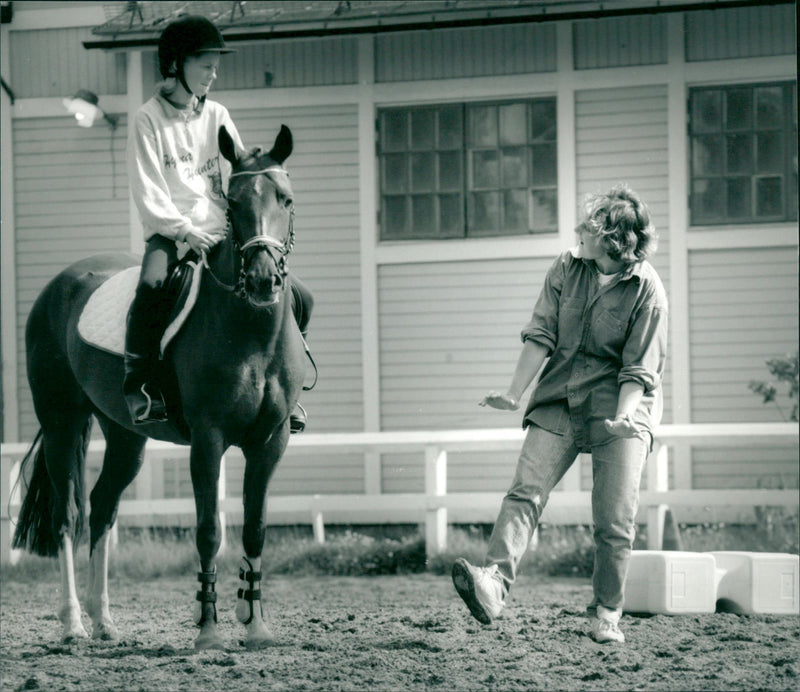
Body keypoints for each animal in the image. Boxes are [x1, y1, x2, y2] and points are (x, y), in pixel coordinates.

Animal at [13, 124, 306, 648]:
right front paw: (208, 630)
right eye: (232, 203)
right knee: (68, 516)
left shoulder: (270, 441)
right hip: (63, 421)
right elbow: (208, 530)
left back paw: (104, 621)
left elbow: (254, 528)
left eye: (286, 200)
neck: (251, 330)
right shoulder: (208, 439)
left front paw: (255, 623)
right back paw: (73, 623)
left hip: (125, 435)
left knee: (102, 507)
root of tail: (59, 285)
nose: (262, 280)